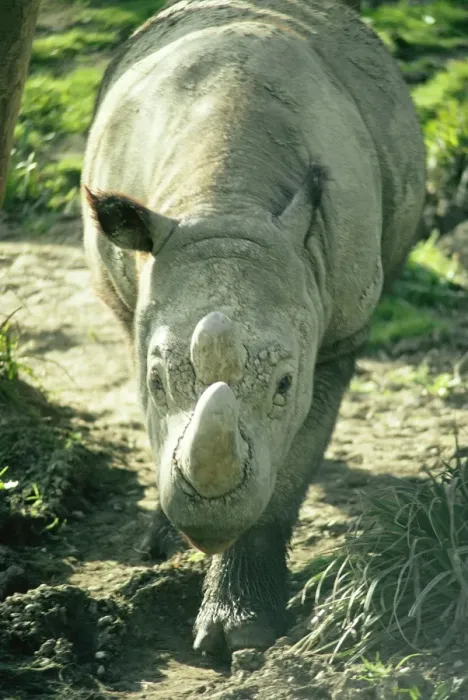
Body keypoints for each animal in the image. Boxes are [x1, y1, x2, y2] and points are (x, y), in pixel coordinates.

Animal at [82, 0, 425, 655]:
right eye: (157, 381)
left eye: (285, 384)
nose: (206, 521)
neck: (226, 201)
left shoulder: (335, 337)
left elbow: (283, 480)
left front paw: (240, 633)